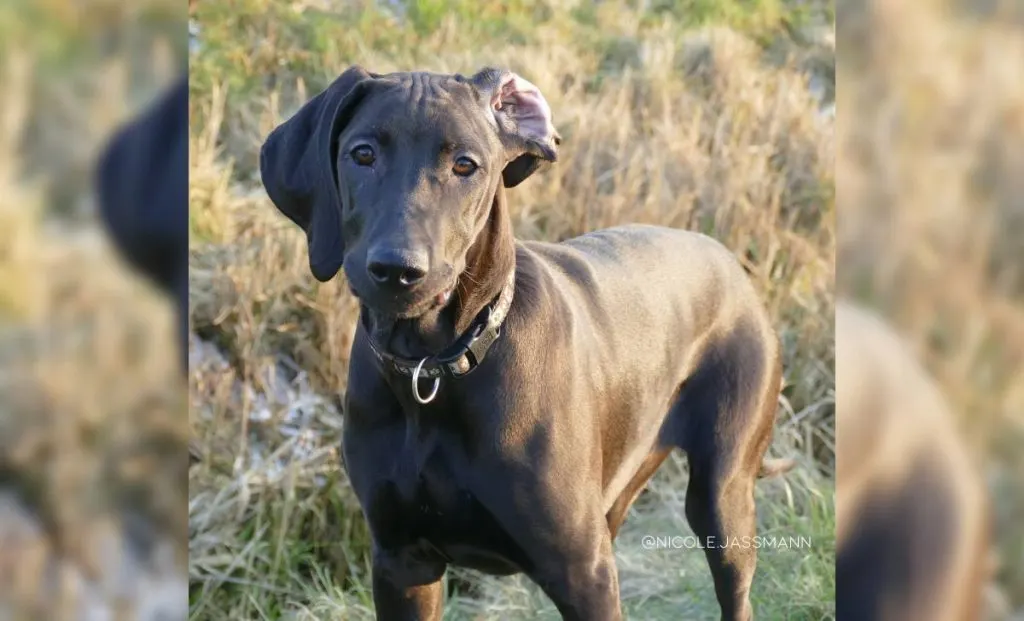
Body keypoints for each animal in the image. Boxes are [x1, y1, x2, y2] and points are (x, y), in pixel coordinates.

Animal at [260, 67, 794, 621]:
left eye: (465, 165)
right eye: (362, 154)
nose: (398, 271)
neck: (433, 371)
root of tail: (730, 261)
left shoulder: (582, 571)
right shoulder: (402, 564)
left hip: (722, 496)